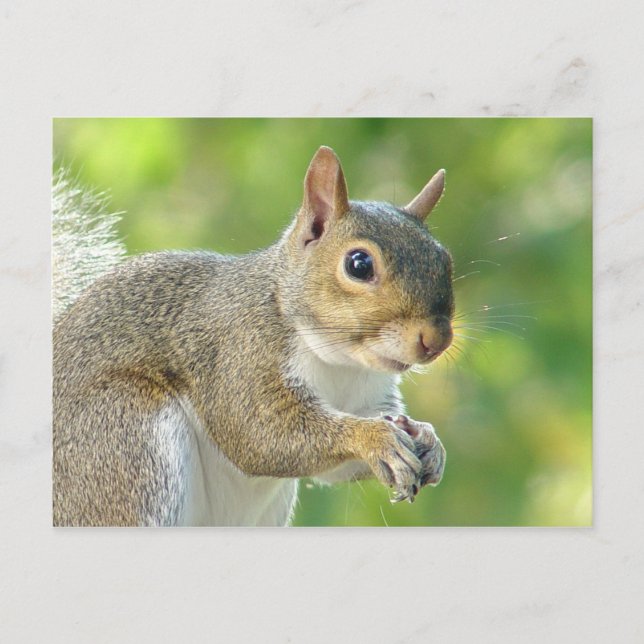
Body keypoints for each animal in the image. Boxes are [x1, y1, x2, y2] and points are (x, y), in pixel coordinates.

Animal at [53, 146, 454, 527]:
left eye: (444, 259)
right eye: (359, 264)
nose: (436, 341)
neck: (338, 362)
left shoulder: (367, 397)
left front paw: (429, 441)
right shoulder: (240, 352)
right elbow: (259, 434)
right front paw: (374, 439)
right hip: (124, 437)